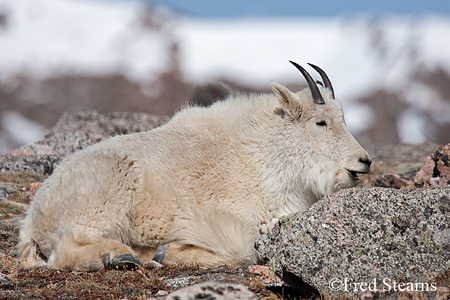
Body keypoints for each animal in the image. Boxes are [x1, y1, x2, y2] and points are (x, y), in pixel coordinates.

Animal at [17, 61, 370, 272]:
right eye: (321, 122)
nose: (364, 161)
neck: (264, 156)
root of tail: (33, 219)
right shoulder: (231, 216)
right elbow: (243, 249)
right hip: (104, 192)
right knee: (66, 250)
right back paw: (120, 255)